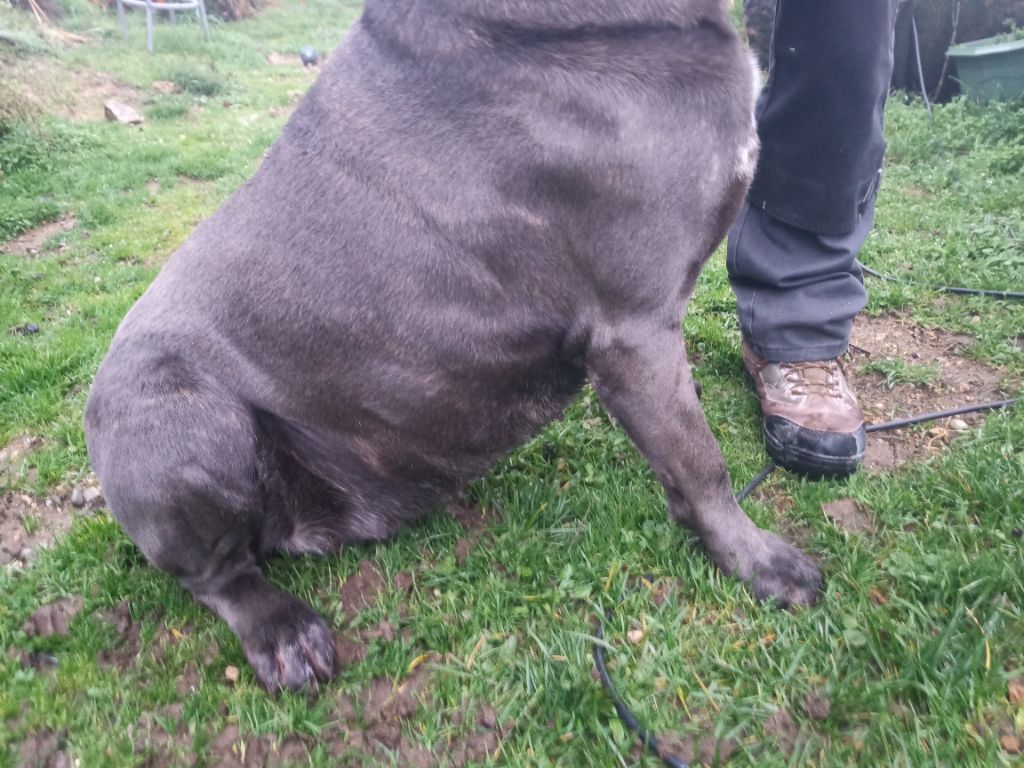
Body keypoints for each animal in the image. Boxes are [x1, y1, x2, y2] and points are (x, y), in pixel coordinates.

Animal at [83, 0, 819, 696]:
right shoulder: (635, 329)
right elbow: (702, 463)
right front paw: (760, 563)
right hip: (176, 413)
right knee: (218, 577)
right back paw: (281, 631)